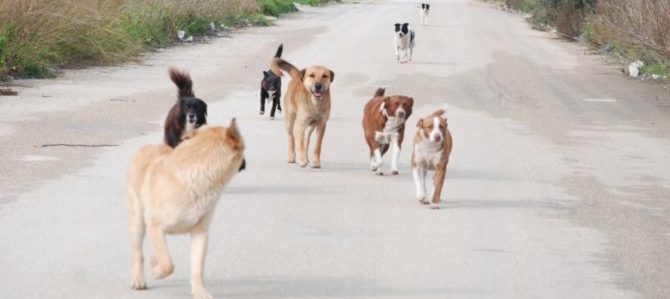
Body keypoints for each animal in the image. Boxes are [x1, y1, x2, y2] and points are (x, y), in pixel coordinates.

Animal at [124, 120, 245, 298]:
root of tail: (147, 146)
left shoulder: (200, 234)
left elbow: (197, 268)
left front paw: (199, 291)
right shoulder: (155, 226)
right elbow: (168, 264)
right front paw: (158, 272)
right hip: (138, 224)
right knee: (138, 254)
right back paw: (139, 279)